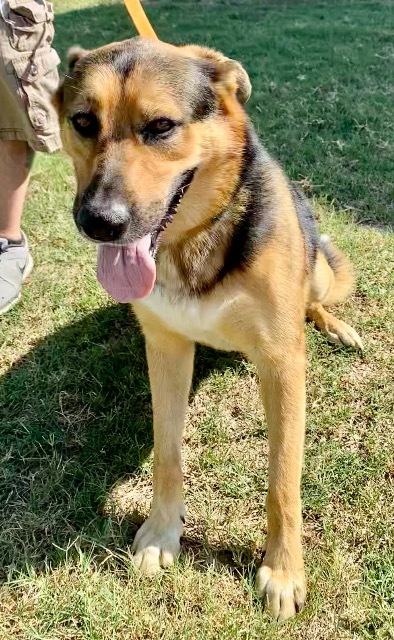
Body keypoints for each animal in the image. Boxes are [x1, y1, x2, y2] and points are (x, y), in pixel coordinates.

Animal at [53, 37, 362, 624]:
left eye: (160, 126)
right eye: (82, 121)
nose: (99, 222)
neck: (194, 237)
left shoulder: (282, 364)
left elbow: (283, 480)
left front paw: (283, 571)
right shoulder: (168, 349)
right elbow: (167, 453)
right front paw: (162, 533)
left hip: (319, 270)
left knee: (316, 299)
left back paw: (336, 326)